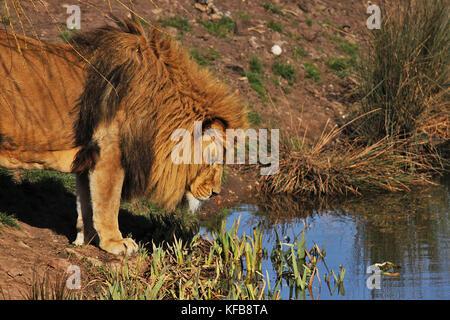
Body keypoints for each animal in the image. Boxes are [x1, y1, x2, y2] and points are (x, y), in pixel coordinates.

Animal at [0, 17, 246, 255]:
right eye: (214, 160)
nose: (216, 193)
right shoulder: (110, 155)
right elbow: (108, 203)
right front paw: (116, 242)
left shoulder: (87, 158)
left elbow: (87, 204)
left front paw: (86, 239)